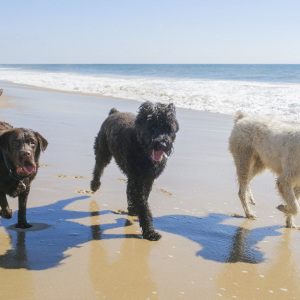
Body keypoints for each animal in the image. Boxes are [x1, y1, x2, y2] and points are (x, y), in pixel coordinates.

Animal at [90, 102, 179, 240]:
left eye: (168, 128)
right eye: (152, 126)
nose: (162, 145)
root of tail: (114, 112)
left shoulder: (147, 179)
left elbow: (143, 198)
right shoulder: (138, 180)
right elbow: (143, 204)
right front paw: (149, 232)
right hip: (103, 151)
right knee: (98, 167)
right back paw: (94, 185)